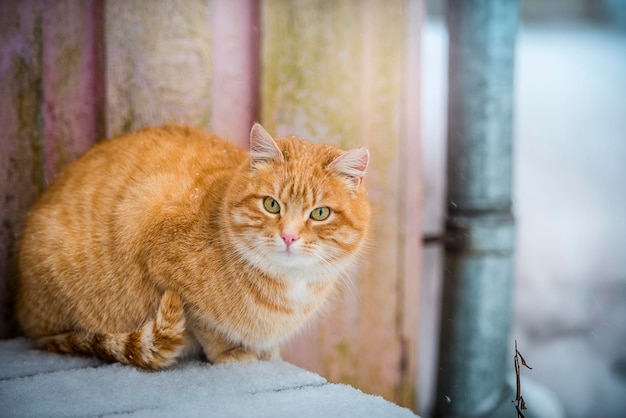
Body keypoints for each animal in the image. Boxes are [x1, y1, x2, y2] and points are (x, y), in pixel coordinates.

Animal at [15, 123, 370, 370]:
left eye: (320, 213)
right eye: (271, 205)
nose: (289, 236)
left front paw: (265, 350)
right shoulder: (164, 266)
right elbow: (207, 326)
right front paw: (230, 352)